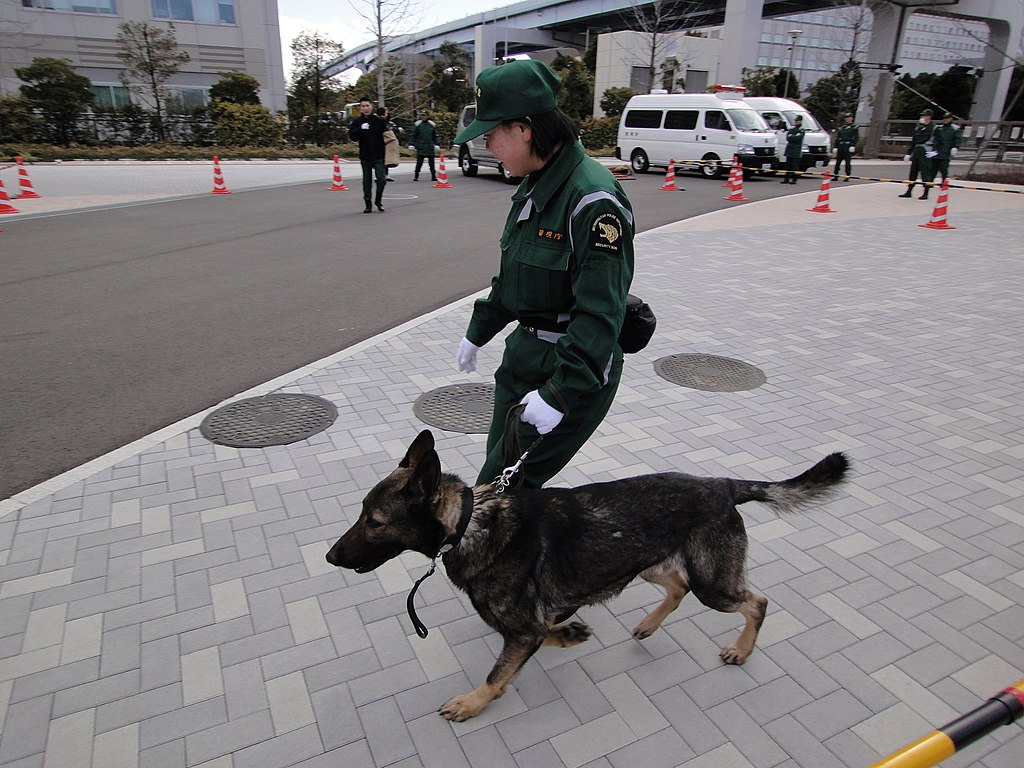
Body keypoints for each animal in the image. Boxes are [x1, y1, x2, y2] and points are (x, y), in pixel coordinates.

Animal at [327, 434, 847, 720]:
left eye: (375, 521)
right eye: (361, 512)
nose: (330, 556)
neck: (472, 521)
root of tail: (721, 485)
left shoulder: (522, 630)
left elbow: (498, 675)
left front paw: (473, 704)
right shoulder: (530, 627)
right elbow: (547, 633)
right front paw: (571, 633)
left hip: (712, 585)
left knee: (755, 602)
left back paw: (741, 649)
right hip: (649, 563)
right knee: (677, 588)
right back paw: (649, 625)